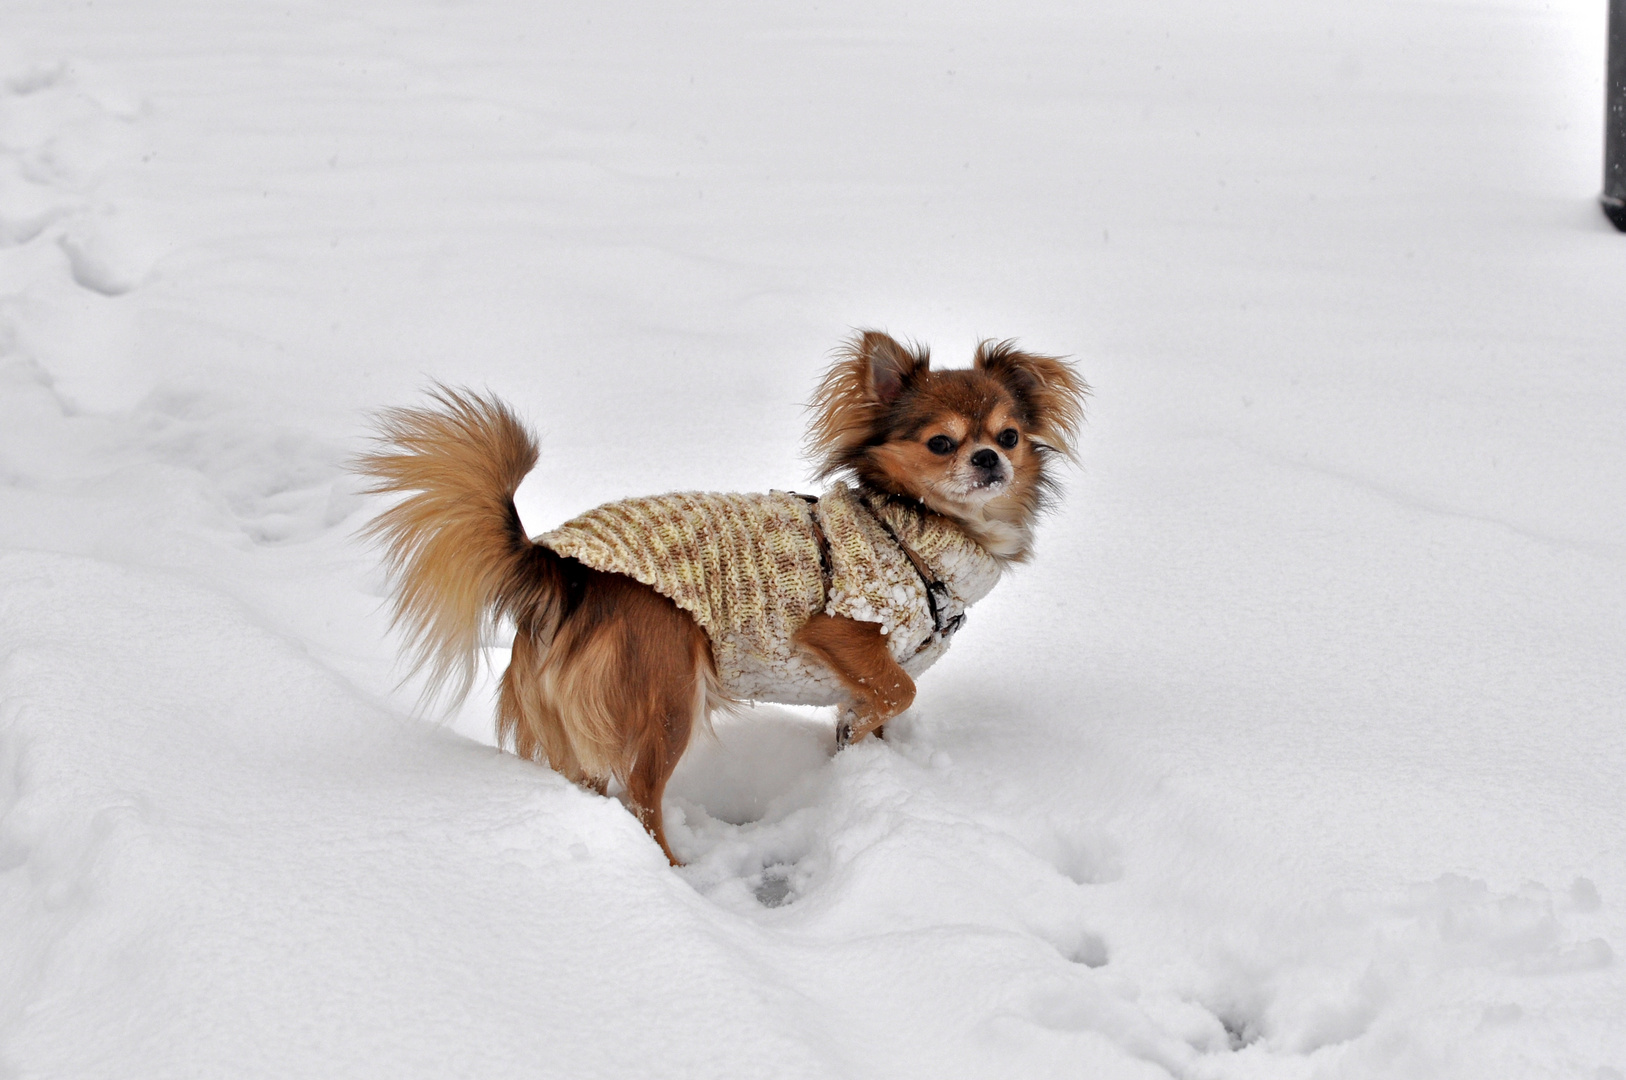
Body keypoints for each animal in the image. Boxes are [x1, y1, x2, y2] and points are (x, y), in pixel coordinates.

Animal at [362, 328, 1086, 858]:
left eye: (1010, 436)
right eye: (941, 443)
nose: (990, 459)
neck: (911, 527)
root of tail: (563, 571)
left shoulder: (862, 672)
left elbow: (869, 715)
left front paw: (861, 763)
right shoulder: (841, 631)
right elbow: (900, 689)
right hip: (666, 701)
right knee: (642, 796)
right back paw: (671, 869)